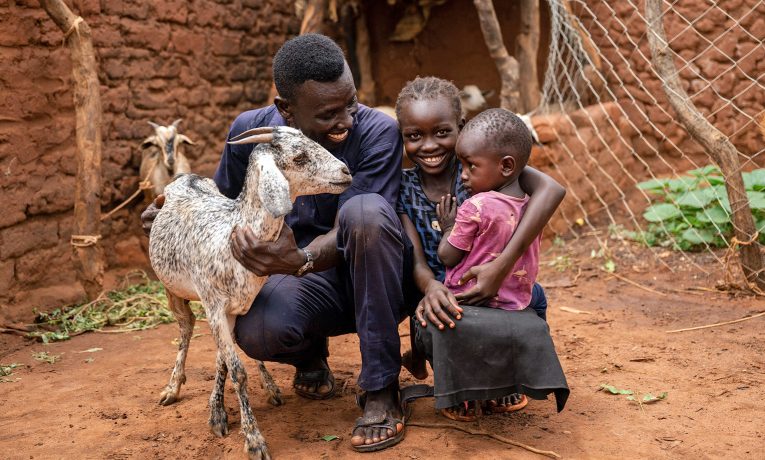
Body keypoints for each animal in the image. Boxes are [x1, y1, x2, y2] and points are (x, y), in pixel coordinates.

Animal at [149, 126, 352, 460]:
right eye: (299, 156)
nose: (346, 172)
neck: (231, 233)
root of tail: (186, 177)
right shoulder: (214, 306)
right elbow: (235, 369)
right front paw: (253, 440)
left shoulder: (235, 308)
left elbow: (224, 361)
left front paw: (217, 413)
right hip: (171, 288)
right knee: (186, 328)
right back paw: (172, 387)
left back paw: (271, 388)